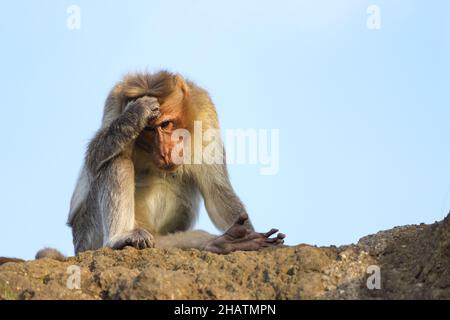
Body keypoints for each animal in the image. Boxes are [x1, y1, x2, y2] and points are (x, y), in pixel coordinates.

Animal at [66, 70, 284, 255]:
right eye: (148, 129)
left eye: (166, 124)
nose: (164, 152)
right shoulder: (113, 103)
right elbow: (94, 159)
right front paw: (134, 115)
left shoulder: (205, 112)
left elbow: (216, 191)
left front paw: (245, 235)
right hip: (88, 236)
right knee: (116, 159)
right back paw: (120, 238)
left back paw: (221, 243)